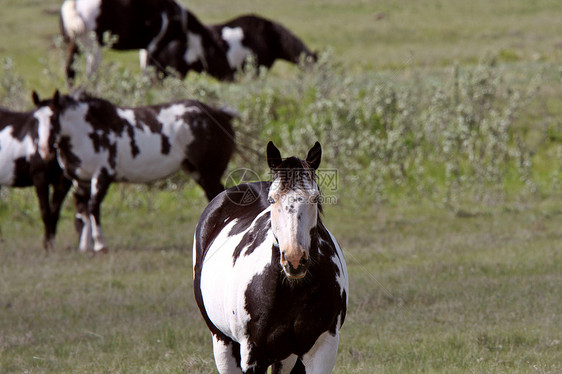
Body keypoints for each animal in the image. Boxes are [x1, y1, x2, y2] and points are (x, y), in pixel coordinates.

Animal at [0, 91, 72, 251]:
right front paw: (47, 247)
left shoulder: (63, 183)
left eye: (54, 118)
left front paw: (50, 245)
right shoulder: (40, 178)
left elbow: (54, 212)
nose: (44, 149)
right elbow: (45, 212)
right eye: (36, 120)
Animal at [40, 91, 235, 253]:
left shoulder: (102, 176)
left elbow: (93, 207)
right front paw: (85, 245)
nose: (44, 150)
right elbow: (83, 209)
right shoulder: (82, 181)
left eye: (53, 118)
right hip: (199, 173)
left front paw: (100, 245)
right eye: (36, 121)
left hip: (209, 174)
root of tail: (219, 114)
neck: (88, 129)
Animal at [61, 0, 234, 82]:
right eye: (220, 54)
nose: (231, 77)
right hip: (93, 48)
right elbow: (149, 74)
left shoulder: (145, 49)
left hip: (74, 45)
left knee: (70, 71)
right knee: (90, 73)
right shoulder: (153, 47)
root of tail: (74, 5)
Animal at [192, 142, 346, 372]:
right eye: (273, 199)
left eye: (315, 198)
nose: (294, 259)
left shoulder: (323, 348)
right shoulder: (254, 354)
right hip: (222, 342)